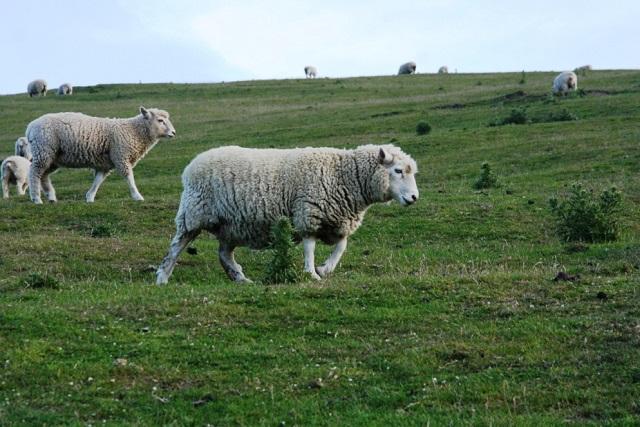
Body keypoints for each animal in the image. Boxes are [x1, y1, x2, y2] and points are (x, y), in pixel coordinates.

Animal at [26, 106, 176, 205]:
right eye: (160, 120)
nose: (174, 133)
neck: (134, 131)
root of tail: (31, 127)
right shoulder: (121, 157)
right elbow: (129, 178)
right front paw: (137, 196)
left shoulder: (105, 165)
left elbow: (98, 181)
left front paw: (90, 197)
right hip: (43, 150)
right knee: (34, 173)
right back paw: (36, 198)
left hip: (52, 157)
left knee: (43, 175)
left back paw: (51, 196)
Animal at [156, 145, 420, 286]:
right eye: (398, 171)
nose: (414, 197)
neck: (345, 176)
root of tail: (191, 166)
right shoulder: (308, 213)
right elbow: (309, 247)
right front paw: (311, 273)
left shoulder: (337, 221)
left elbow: (341, 247)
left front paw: (326, 269)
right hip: (193, 214)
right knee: (177, 246)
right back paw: (162, 277)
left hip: (232, 225)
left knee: (224, 254)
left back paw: (240, 278)